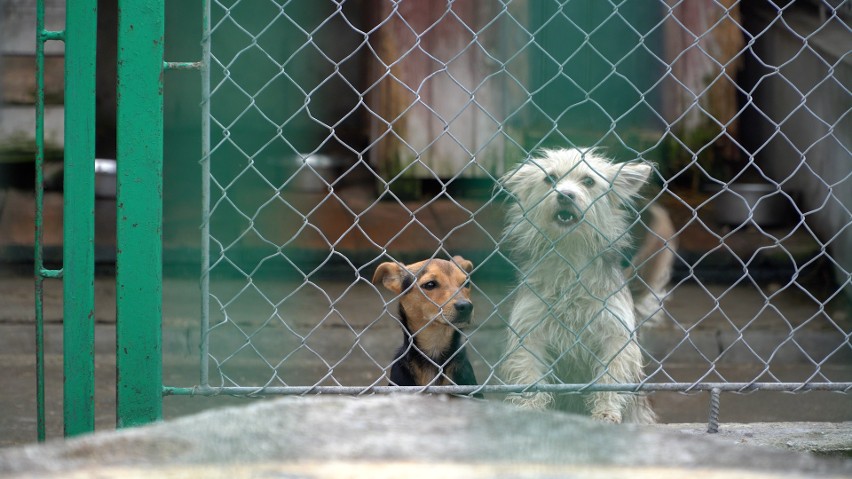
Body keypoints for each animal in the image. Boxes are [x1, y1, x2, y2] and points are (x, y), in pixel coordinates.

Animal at [500, 149, 664, 424]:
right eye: (550, 178)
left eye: (588, 181)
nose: (565, 195)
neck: (570, 257)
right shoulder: (530, 334)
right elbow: (531, 376)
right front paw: (530, 409)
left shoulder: (615, 336)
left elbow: (610, 378)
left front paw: (606, 411)